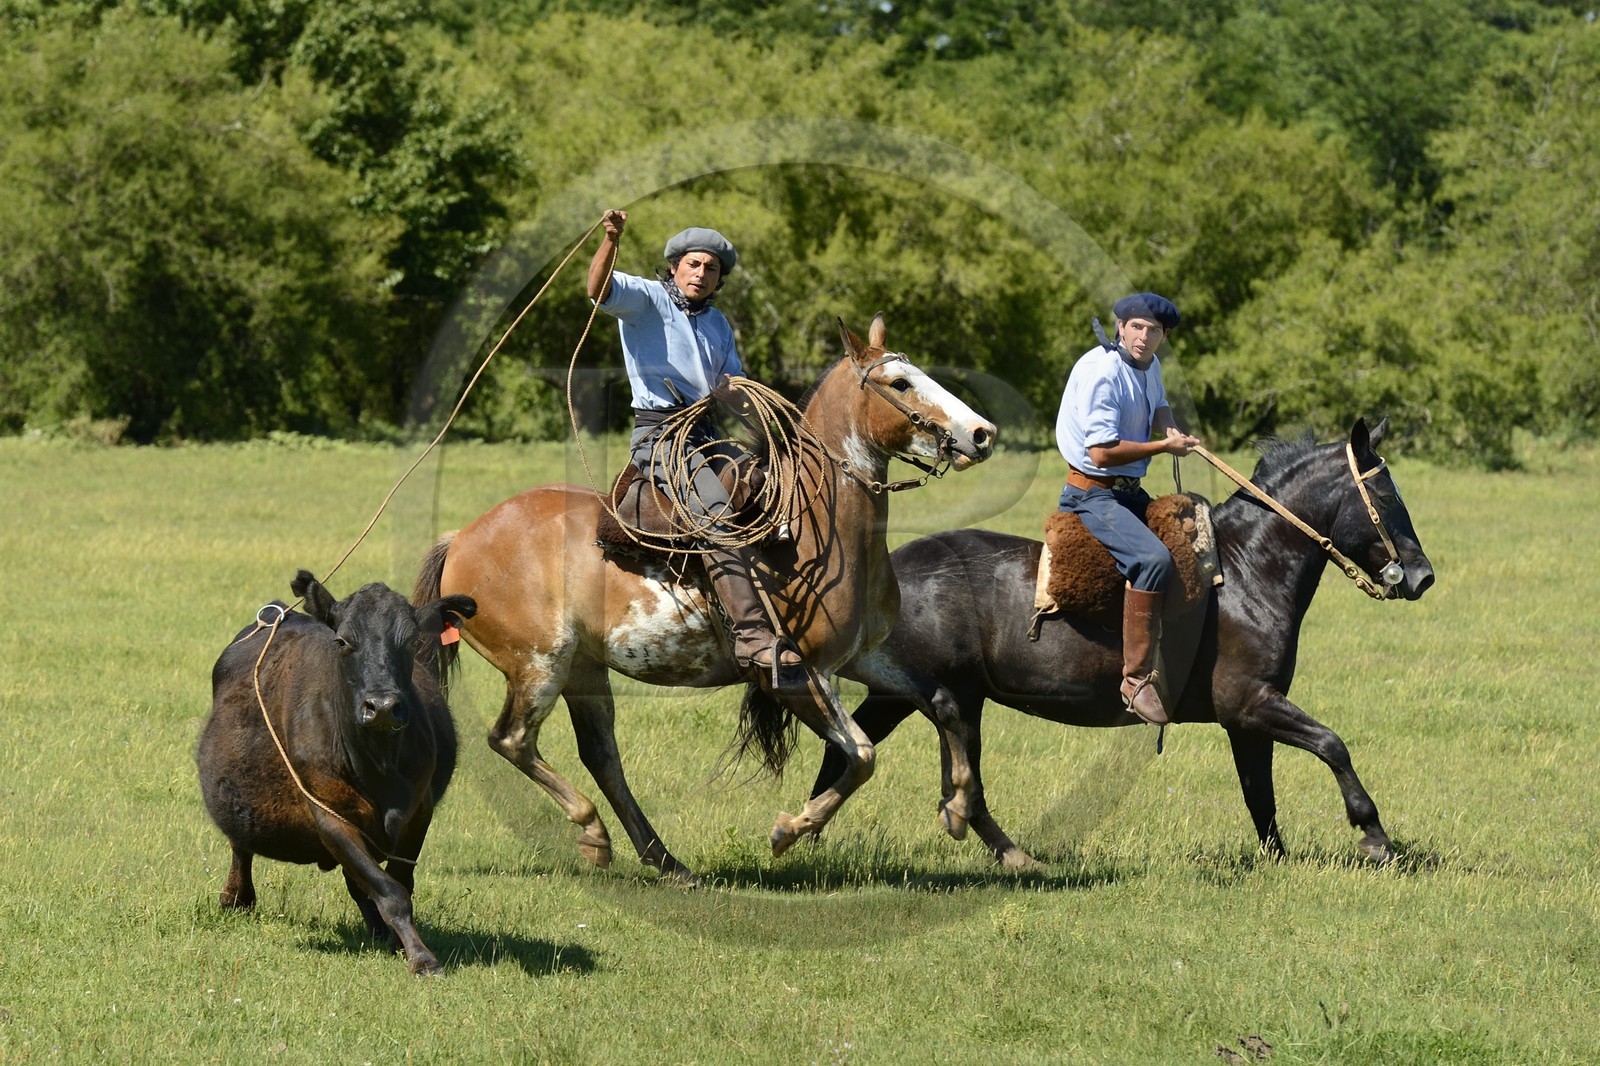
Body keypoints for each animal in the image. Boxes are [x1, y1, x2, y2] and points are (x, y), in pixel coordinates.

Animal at [196, 569, 475, 975]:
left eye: (410, 641)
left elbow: (397, 883)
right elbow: (389, 891)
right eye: (343, 641)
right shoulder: (328, 815)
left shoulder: (418, 812)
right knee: (241, 847)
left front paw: (400, 943)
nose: (382, 706)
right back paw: (237, 897)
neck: (378, 764)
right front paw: (422, 958)